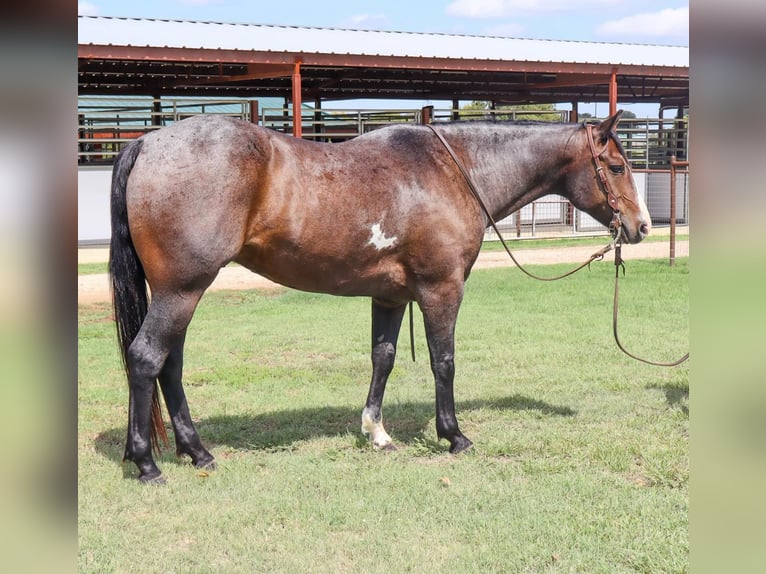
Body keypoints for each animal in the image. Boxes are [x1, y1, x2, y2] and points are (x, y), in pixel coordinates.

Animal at [109, 110, 650, 483]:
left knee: (170, 366)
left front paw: (377, 433)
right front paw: (454, 435)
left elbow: (383, 358)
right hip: (182, 290)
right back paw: (147, 463)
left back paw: (197, 452)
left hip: (181, 292)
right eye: (616, 166)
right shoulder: (441, 289)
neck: (452, 171)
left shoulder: (390, 298)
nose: (642, 227)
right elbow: (443, 361)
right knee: (146, 358)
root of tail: (148, 142)